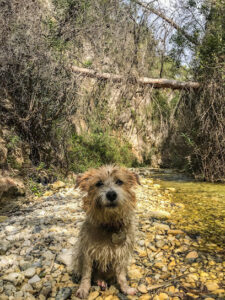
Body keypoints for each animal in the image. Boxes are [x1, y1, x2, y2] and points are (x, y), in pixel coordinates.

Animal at [74, 165, 140, 298]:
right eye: (99, 183)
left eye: (119, 181)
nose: (111, 194)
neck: (110, 224)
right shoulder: (87, 253)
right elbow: (86, 274)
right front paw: (83, 288)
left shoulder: (121, 254)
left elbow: (121, 276)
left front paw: (126, 288)